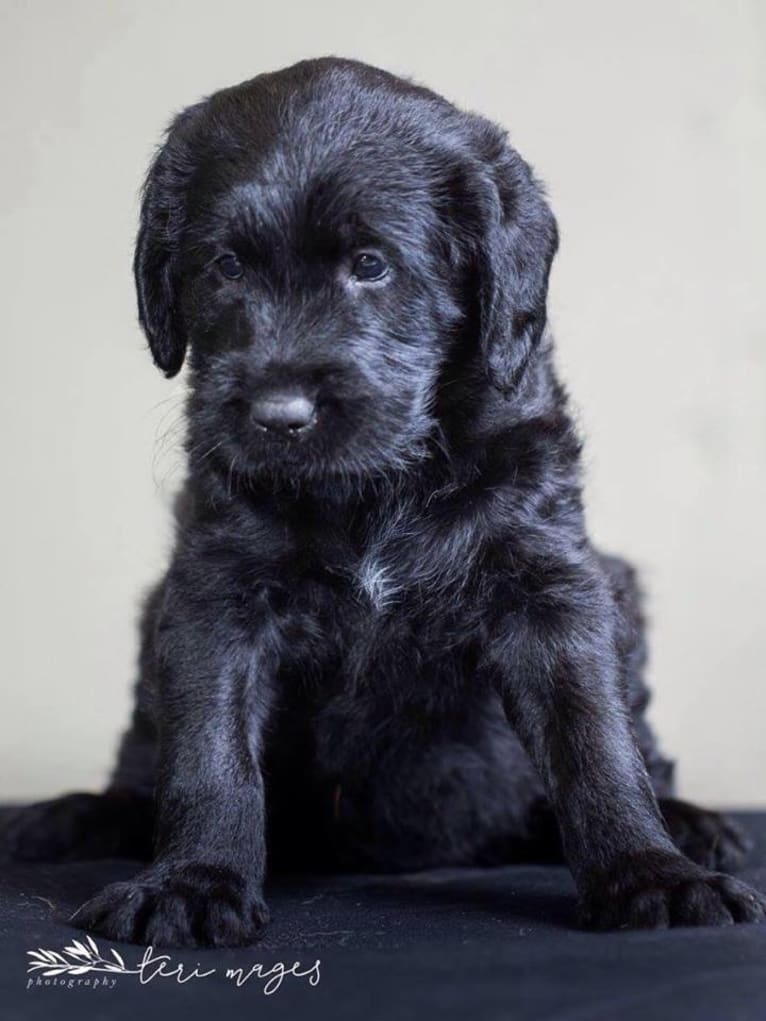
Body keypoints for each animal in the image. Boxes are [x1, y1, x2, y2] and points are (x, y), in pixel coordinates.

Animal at [3, 57, 763, 947]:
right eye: (225, 267)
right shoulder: (214, 594)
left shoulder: (551, 584)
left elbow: (596, 743)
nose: (279, 416)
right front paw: (193, 880)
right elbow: (208, 754)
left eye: (370, 263)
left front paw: (650, 872)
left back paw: (690, 826)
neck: (374, 485)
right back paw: (79, 813)